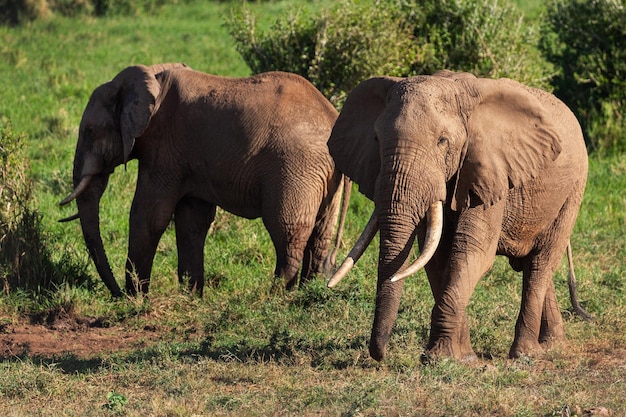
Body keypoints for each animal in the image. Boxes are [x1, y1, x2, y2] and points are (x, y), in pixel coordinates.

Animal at [59, 63, 348, 298]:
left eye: (90, 131)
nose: (117, 294)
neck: (150, 76)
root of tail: (332, 116)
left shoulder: (164, 149)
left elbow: (149, 216)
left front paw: (137, 299)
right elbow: (191, 221)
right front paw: (190, 298)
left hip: (295, 168)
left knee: (286, 232)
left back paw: (274, 297)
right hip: (322, 176)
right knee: (319, 236)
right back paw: (304, 295)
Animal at [326, 70, 588, 360]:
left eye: (442, 142)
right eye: (376, 140)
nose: (379, 354)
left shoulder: (488, 170)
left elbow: (471, 251)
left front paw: (443, 357)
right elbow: (436, 254)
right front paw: (461, 356)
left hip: (573, 191)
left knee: (541, 262)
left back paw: (525, 354)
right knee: (533, 263)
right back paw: (552, 346)